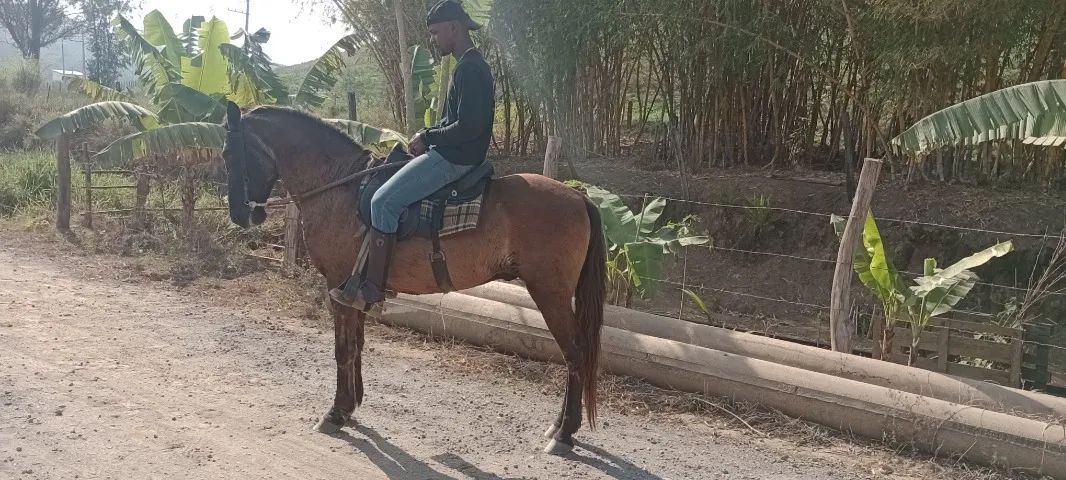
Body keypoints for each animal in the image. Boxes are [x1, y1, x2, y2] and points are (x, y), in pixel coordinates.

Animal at [220, 101, 606, 454]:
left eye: (227, 152)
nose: (240, 214)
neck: (340, 186)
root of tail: (579, 197)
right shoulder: (354, 289)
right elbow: (357, 344)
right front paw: (353, 406)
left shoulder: (336, 284)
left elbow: (343, 349)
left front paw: (336, 412)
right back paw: (559, 426)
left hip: (550, 294)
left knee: (575, 353)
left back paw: (563, 433)